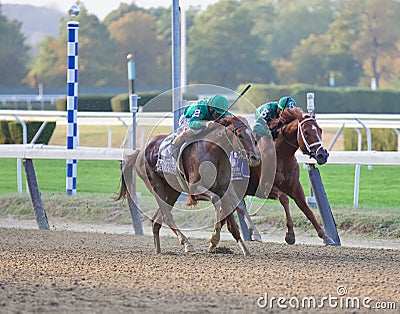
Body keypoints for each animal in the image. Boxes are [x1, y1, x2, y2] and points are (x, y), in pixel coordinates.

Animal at [117, 115, 260, 255]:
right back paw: (186, 243)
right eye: (240, 135)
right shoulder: (195, 190)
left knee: (157, 219)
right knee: (166, 216)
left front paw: (253, 236)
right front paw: (215, 237)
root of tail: (139, 152)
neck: (213, 151)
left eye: (252, 135)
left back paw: (158, 249)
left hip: (172, 190)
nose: (255, 158)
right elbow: (216, 200)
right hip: (156, 185)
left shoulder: (223, 187)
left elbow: (239, 206)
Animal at [236, 108, 336, 245]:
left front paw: (325, 236)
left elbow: (305, 208)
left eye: (320, 130)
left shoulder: (295, 187)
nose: (323, 155)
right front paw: (290, 234)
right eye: (306, 132)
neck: (281, 156)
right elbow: (285, 199)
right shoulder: (264, 188)